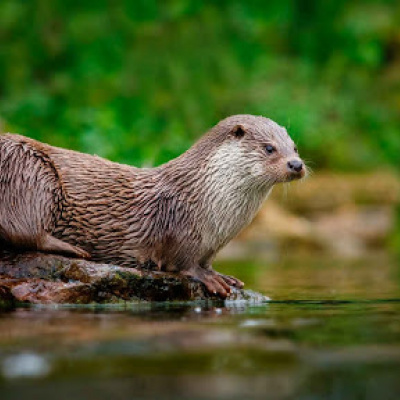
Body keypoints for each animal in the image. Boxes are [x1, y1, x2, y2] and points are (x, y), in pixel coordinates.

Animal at [0, 115, 306, 296]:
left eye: (294, 147)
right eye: (269, 148)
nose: (296, 164)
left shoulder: (210, 246)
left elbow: (207, 263)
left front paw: (224, 276)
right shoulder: (178, 225)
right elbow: (182, 263)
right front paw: (209, 279)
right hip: (29, 171)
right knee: (25, 231)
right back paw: (74, 249)